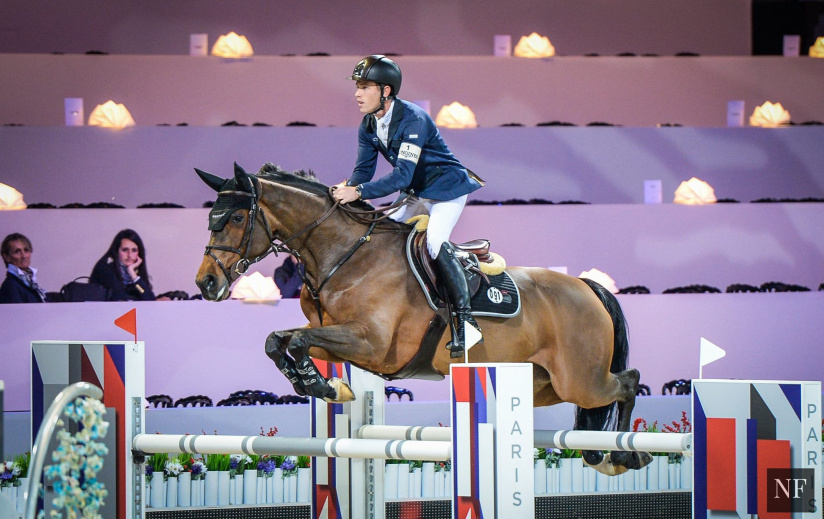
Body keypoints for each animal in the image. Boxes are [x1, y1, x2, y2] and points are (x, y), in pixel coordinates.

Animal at [194, 162, 651, 475]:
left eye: (236, 218)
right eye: (211, 219)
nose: (206, 283)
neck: (344, 255)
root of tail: (587, 287)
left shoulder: (374, 345)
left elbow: (296, 341)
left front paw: (324, 386)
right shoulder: (336, 337)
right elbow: (280, 340)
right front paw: (322, 385)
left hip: (581, 377)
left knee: (627, 383)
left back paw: (624, 455)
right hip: (546, 384)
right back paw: (602, 453)